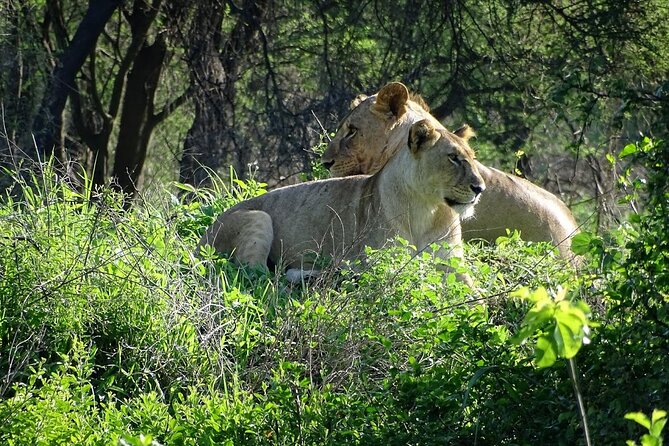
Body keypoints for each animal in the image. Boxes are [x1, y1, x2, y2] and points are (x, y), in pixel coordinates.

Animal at [198, 119, 486, 282]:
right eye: (453, 158)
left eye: (472, 157)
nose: (480, 188)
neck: (427, 208)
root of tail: (201, 239)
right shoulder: (381, 263)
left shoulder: (453, 265)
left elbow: (476, 296)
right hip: (258, 217)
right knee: (258, 276)